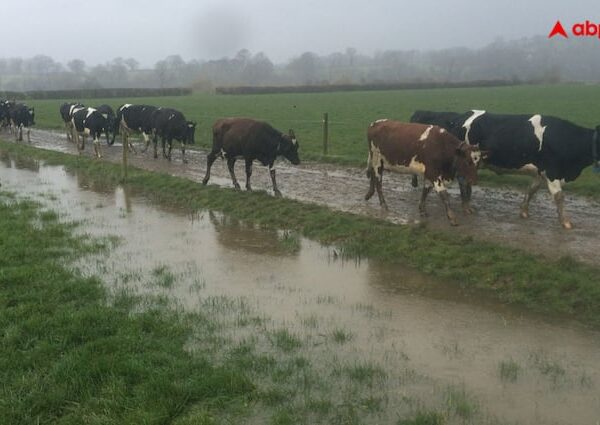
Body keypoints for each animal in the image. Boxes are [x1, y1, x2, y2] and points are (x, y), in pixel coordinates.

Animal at [412, 109, 600, 229]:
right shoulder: (553, 171)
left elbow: (532, 190)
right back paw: (466, 206)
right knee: (462, 182)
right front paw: (565, 222)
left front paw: (524, 211)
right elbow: (559, 197)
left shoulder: (541, 172)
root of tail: (459, 117)